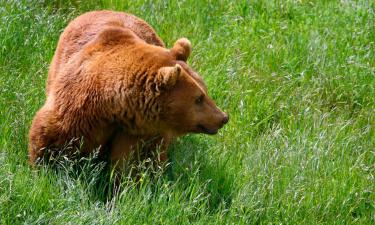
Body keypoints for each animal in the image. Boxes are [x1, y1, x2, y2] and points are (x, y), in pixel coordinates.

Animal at [28, 10, 229, 169]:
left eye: (205, 91)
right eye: (198, 98)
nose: (223, 117)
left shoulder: (143, 131)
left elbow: (137, 163)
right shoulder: (77, 110)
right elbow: (50, 137)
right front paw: (46, 168)